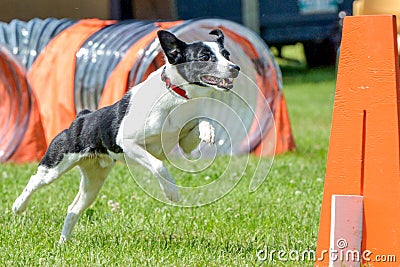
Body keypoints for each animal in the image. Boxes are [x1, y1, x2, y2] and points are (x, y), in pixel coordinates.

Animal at [10, 28, 239, 243]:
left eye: (226, 54)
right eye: (205, 57)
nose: (235, 68)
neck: (177, 95)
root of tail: (81, 117)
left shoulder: (185, 144)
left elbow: (201, 120)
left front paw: (208, 132)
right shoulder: (128, 143)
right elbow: (158, 165)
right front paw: (171, 193)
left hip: (93, 181)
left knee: (73, 209)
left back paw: (63, 243)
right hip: (55, 164)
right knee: (35, 181)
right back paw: (18, 206)